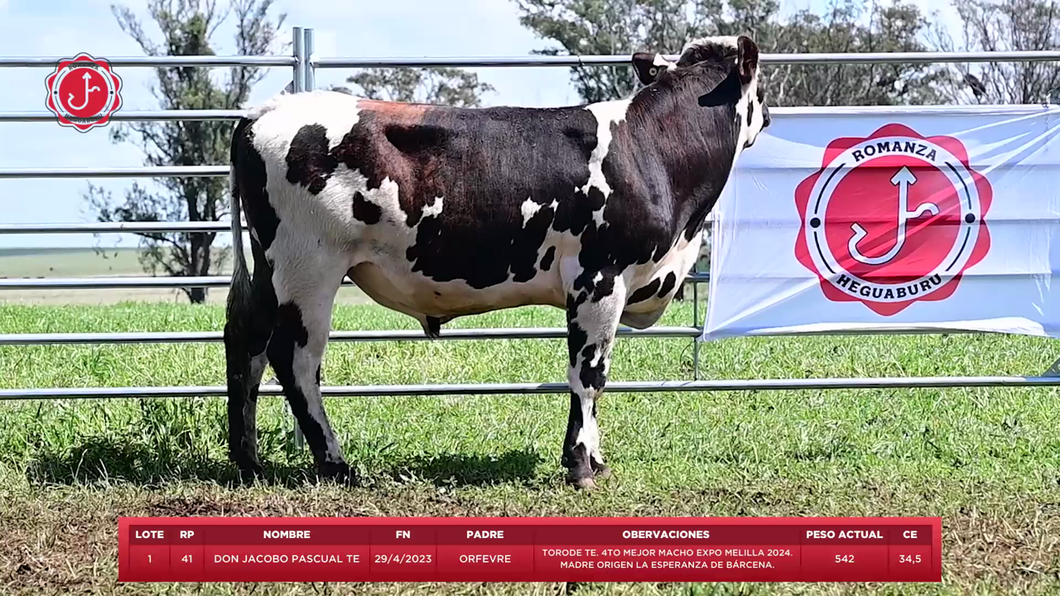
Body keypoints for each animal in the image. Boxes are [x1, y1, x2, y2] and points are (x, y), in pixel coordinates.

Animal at [223, 33, 771, 487]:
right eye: (760, 89)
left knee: (245, 342)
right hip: (307, 268)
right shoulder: (599, 278)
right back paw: (336, 464)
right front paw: (580, 466)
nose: (768, 115)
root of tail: (263, 113)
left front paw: (594, 461)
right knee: (294, 359)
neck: (652, 149)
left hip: (269, 273)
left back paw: (249, 462)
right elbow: (589, 374)